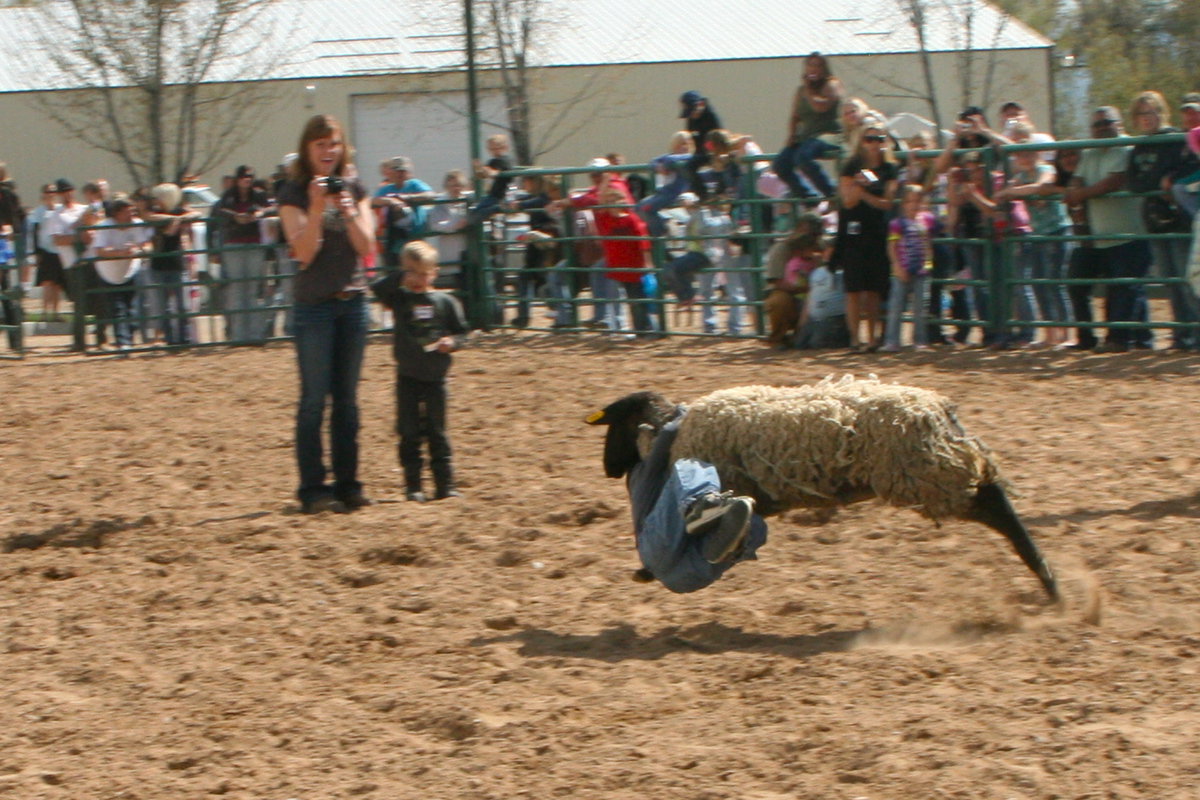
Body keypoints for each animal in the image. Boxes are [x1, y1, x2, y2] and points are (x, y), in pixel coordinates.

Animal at [588, 376, 1060, 599]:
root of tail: (940, 410)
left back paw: (1047, 578)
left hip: (926, 471)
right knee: (993, 497)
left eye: (613, 424)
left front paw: (646, 570)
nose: (608, 470)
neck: (674, 430)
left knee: (996, 505)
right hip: (935, 468)